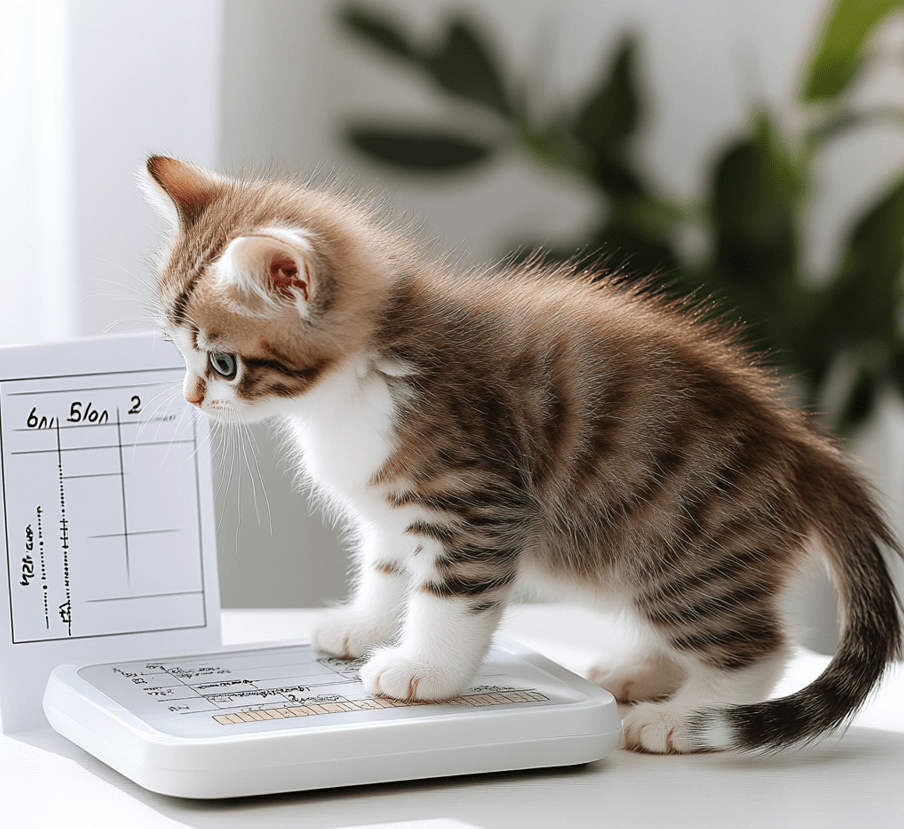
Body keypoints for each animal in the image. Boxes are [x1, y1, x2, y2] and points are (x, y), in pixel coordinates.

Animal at [141, 157, 904, 756]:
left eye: (223, 362)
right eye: (180, 352)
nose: (189, 396)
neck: (360, 377)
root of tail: (806, 447)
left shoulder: (479, 497)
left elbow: (450, 597)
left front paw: (423, 670)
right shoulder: (392, 508)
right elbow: (390, 569)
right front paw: (365, 626)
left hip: (685, 549)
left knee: (758, 648)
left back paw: (684, 716)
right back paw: (644, 672)